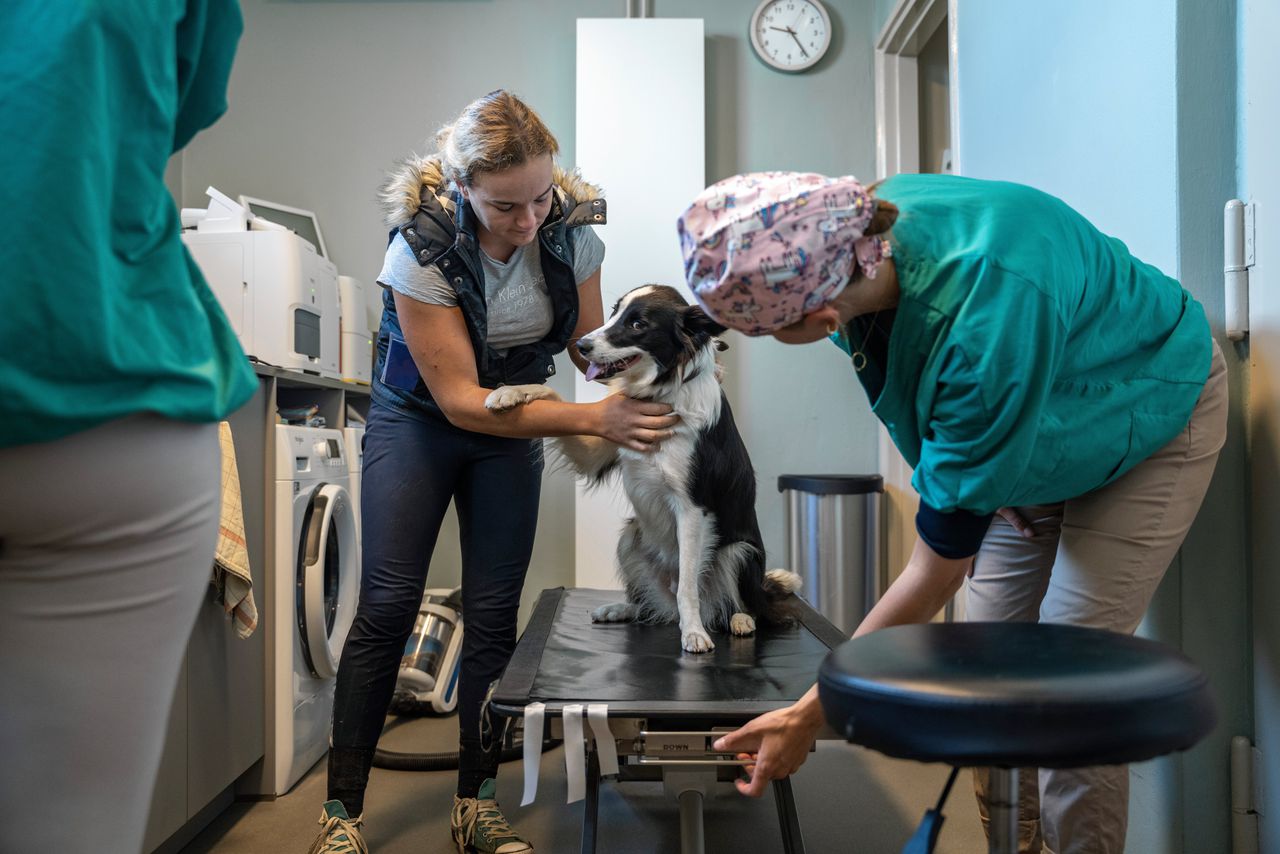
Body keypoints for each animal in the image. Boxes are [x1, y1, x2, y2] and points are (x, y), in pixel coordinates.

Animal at [483, 284, 793, 650]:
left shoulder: (693, 508)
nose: (581, 344)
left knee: (746, 604)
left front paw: (694, 632)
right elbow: (553, 399)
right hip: (630, 537)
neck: (662, 393)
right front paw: (509, 393)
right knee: (650, 603)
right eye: (614, 312)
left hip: (740, 552)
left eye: (638, 325)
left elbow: (688, 586)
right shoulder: (602, 446)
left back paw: (740, 619)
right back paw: (622, 608)